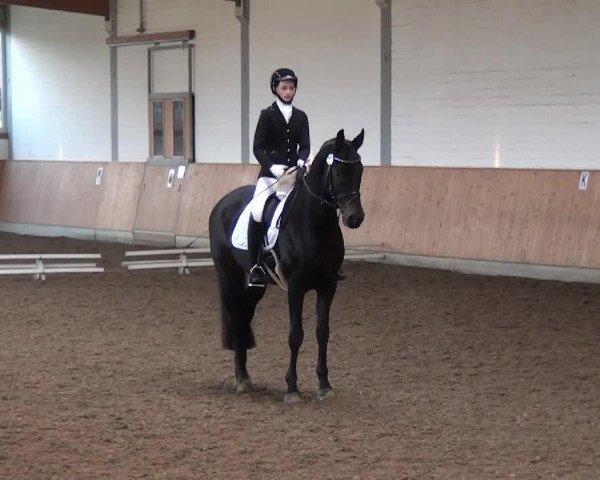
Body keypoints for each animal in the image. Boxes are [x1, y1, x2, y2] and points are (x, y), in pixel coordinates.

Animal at [209, 129, 364, 404]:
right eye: (337, 172)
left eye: (360, 170)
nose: (355, 218)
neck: (315, 224)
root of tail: (222, 203)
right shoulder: (296, 286)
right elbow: (296, 335)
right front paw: (292, 388)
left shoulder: (328, 285)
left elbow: (322, 332)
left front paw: (324, 385)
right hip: (228, 276)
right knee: (236, 316)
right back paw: (241, 379)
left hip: (254, 286)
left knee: (243, 316)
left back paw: (245, 377)